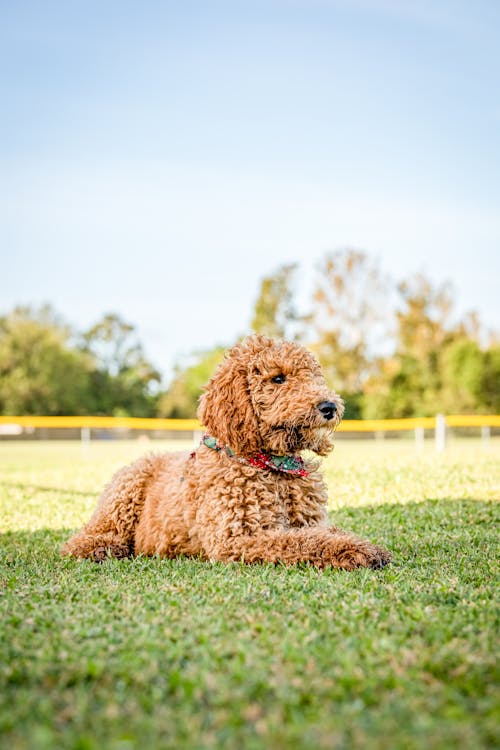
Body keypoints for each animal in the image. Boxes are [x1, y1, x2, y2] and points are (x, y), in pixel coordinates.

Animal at [62, 336, 390, 568]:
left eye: (313, 377)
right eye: (278, 378)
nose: (329, 407)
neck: (274, 468)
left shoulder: (310, 523)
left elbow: (323, 533)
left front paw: (359, 544)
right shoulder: (236, 538)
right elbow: (302, 542)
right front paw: (355, 550)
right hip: (125, 488)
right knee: (83, 538)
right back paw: (99, 547)